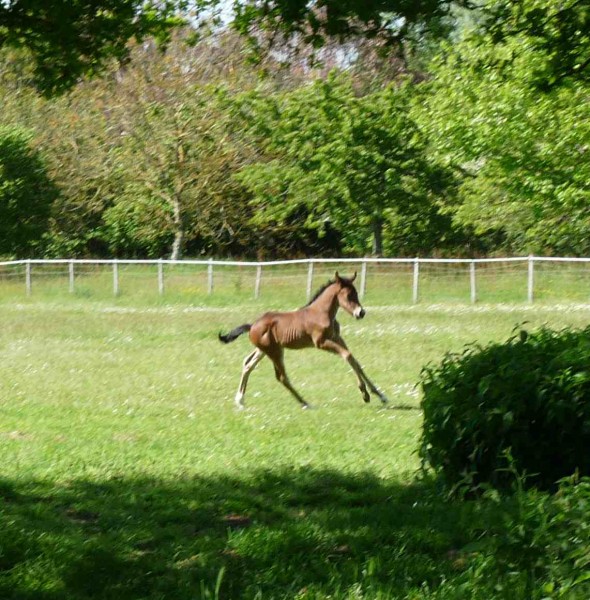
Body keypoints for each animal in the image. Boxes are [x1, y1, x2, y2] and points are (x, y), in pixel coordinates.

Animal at [220, 270, 390, 408]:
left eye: (356, 294)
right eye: (348, 296)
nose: (361, 313)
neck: (321, 312)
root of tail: (252, 325)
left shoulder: (337, 338)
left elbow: (355, 361)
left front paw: (381, 395)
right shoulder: (321, 343)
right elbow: (347, 356)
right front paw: (365, 394)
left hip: (265, 350)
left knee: (248, 364)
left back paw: (240, 400)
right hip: (274, 352)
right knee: (281, 377)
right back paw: (305, 403)